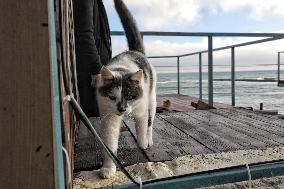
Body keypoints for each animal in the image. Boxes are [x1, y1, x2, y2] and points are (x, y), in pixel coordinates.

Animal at [95, 0, 158, 179]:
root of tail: (135, 51)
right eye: (112, 97)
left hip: (152, 100)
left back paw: (149, 140)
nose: (122, 109)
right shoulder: (108, 117)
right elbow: (109, 144)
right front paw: (108, 169)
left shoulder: (142, 111)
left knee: (150, 123)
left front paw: (143, 144)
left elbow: (142, 128)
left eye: (130, 96)